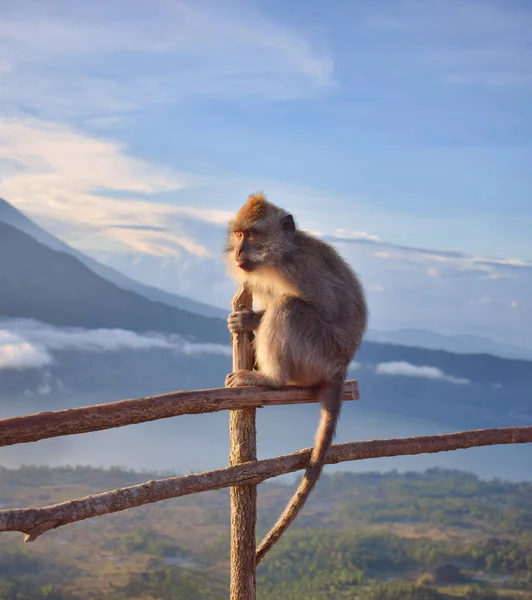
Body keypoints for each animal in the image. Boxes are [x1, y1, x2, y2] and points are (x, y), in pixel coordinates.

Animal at [222, 191, 368, 564]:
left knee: (290, 308)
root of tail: (340, 368)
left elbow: (321, 307)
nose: (239, 252)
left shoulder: (302, 270)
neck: (278, 257)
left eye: (253, 235)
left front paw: (251, 320)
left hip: (318, 354)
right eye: (239, 234)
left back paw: (270, 379)